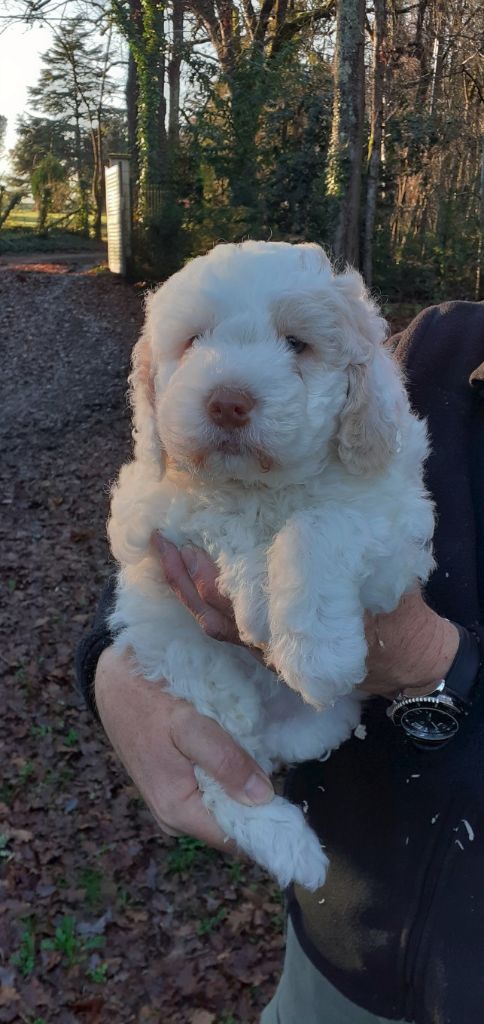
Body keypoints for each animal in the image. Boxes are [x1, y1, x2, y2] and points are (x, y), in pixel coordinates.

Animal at [108, 239, 433, 888]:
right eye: (192, 341)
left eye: (298, 345)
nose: (227, 402)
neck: (266, 486)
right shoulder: (154, 509)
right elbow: (222, 516)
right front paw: (259, 601)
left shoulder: (397, 524)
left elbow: (319, 523)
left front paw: (316, 654)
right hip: (190, 678)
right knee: (231, 770)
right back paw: (292, 847)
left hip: (312, 719)